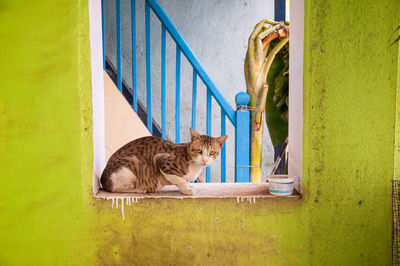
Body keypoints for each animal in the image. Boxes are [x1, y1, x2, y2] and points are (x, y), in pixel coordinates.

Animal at [100, 129, 228, 195]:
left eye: (212, 153)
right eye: (199, 151)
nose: (205, 160)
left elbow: (185, 180)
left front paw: (188, 185)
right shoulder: (160, 160)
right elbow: (179, 179)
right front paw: (187, 189)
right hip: (133, 161)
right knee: (114, 188)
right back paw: (140, 189)